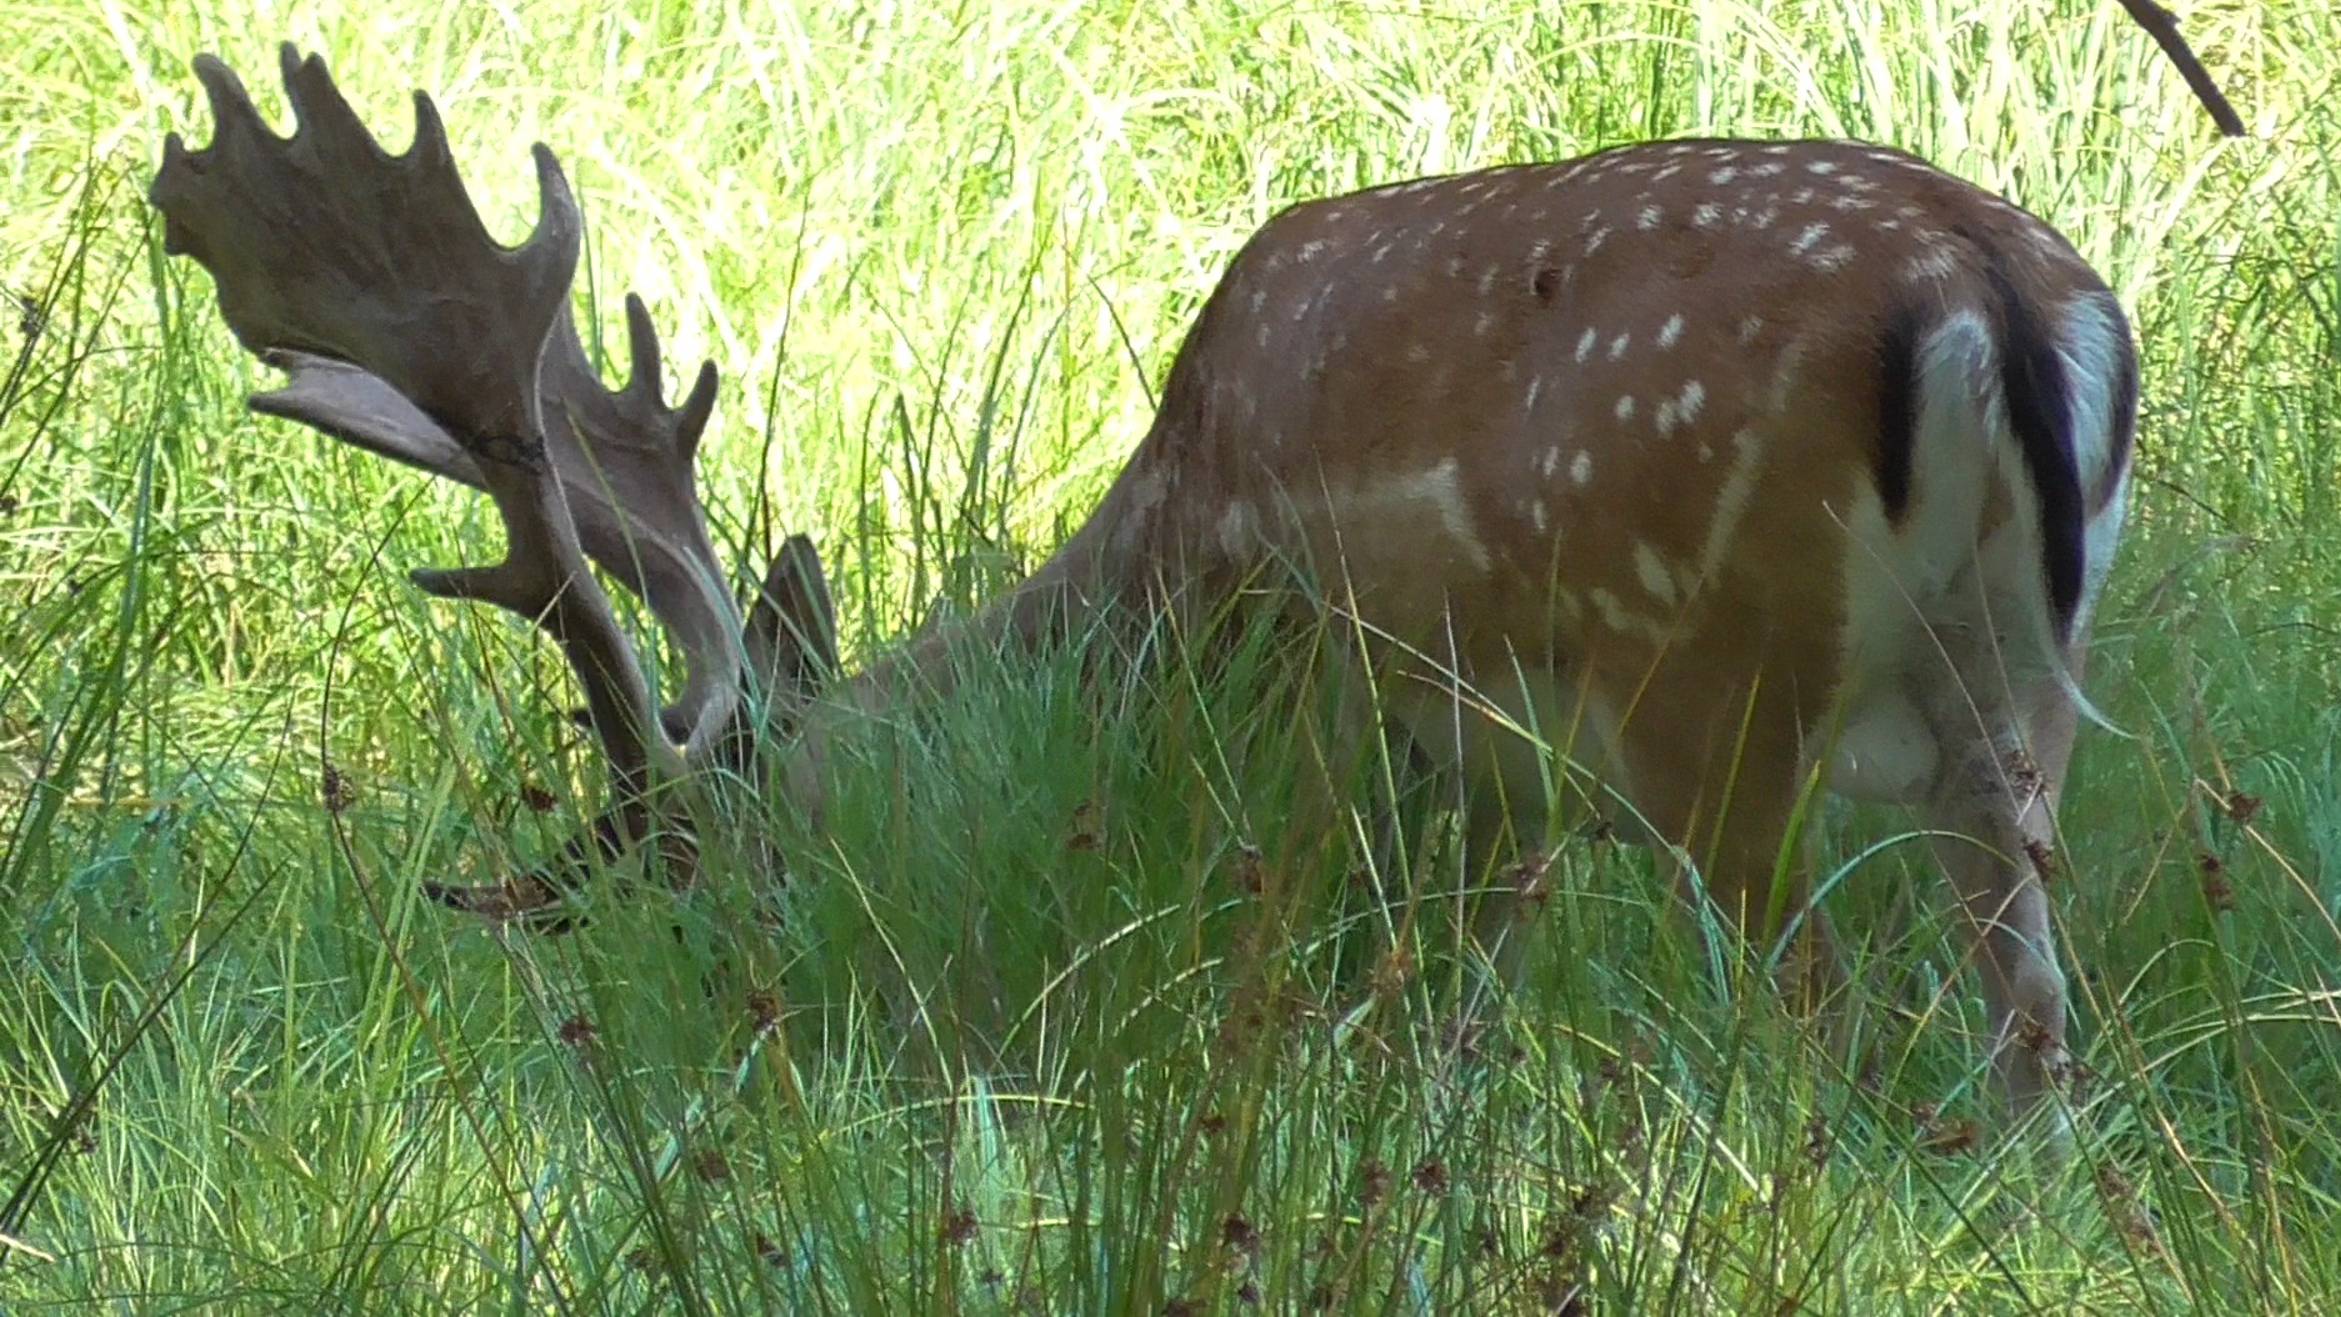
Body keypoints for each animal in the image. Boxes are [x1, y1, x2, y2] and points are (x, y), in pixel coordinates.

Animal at [155, 43, 2144, 1132]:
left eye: (718, 860)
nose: (713, 1002)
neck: (1162, 551)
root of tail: (1993, 288)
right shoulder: (1496, 778)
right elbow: (1459, 1010)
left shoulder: (1349, 708)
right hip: (2010, 703)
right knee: (2034, 1036)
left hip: (1709, 676)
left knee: (1826, 1007)